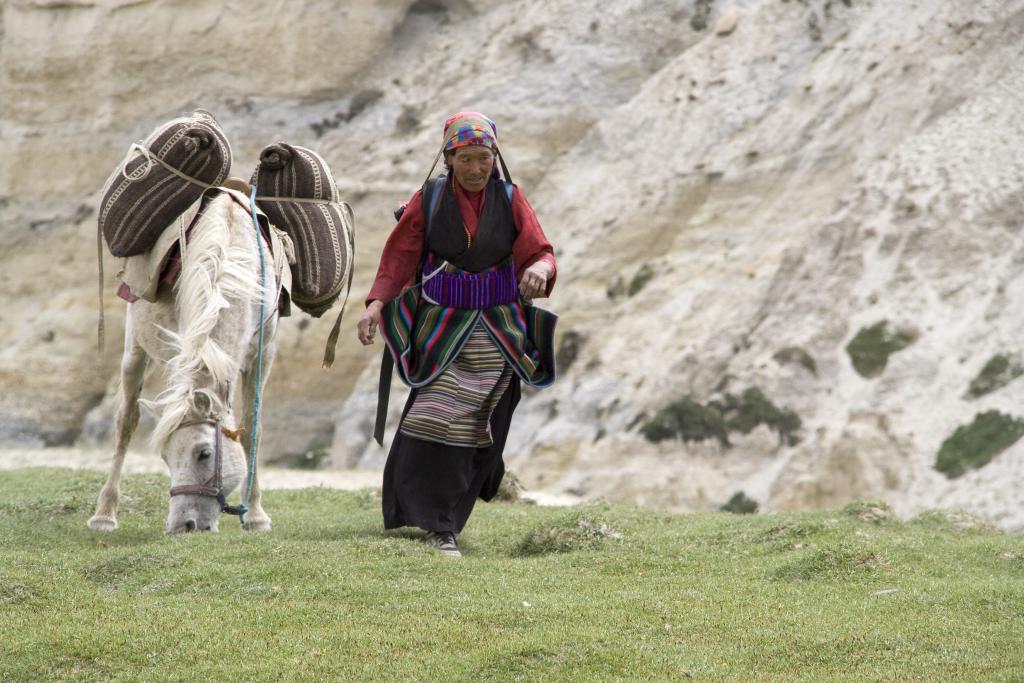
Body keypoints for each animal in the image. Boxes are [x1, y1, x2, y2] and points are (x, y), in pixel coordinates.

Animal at [88, 189, 278, 536]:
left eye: (204, 453)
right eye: (164, 456)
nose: (184, 525)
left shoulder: (264, 351)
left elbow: (252, 428)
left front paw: (256, 517)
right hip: (134, 348)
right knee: (126, 421)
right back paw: (104, 515)